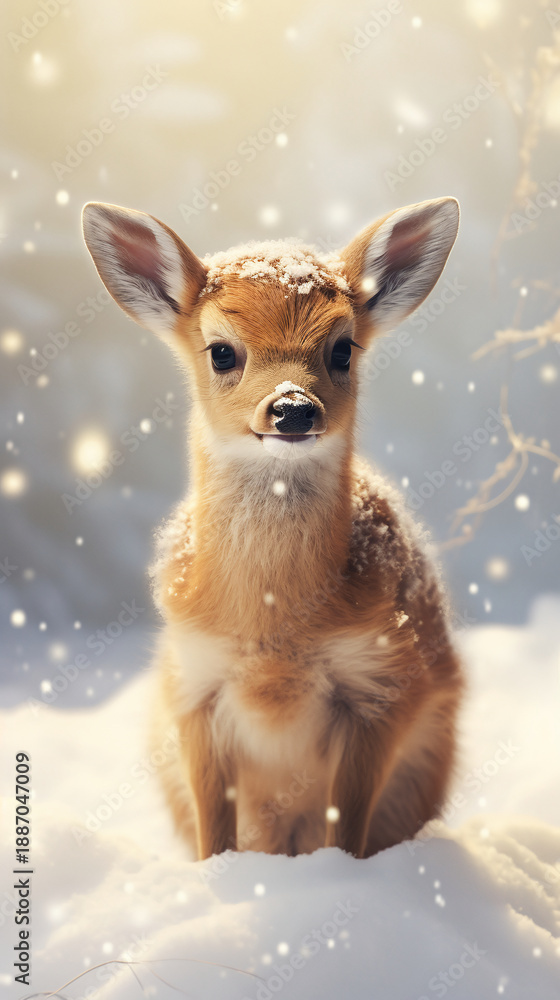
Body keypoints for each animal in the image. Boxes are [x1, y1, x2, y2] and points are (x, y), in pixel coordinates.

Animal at [82, 196, 464, 861]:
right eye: (221, 351)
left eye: (343, 348)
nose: (292, 409)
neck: (272, 626)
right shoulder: (195, 685)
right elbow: (214, 831)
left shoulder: (382, 683)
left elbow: (347, 825)